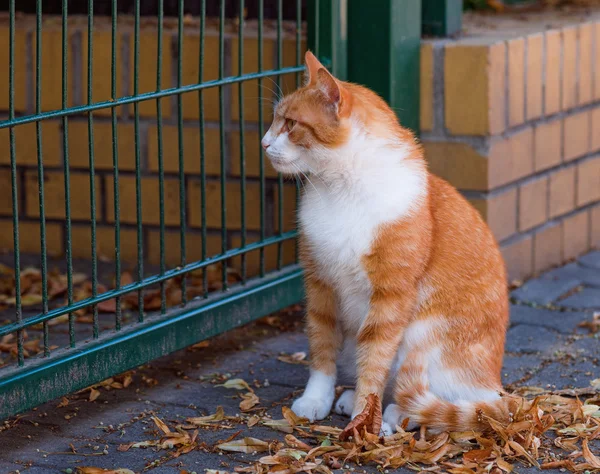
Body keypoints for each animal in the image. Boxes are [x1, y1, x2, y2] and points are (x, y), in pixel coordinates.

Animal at [260, 51, 516, 434]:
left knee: (440, 408)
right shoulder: (319, 285)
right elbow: (322, 348)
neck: (342, 189)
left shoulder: (390, 296)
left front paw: (364, 420)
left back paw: (392, 415)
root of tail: (494, 385)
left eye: (290, 124)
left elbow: (374, 358)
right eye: (276, 120)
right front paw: (316, 399)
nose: (263, 143)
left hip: (424, 337)